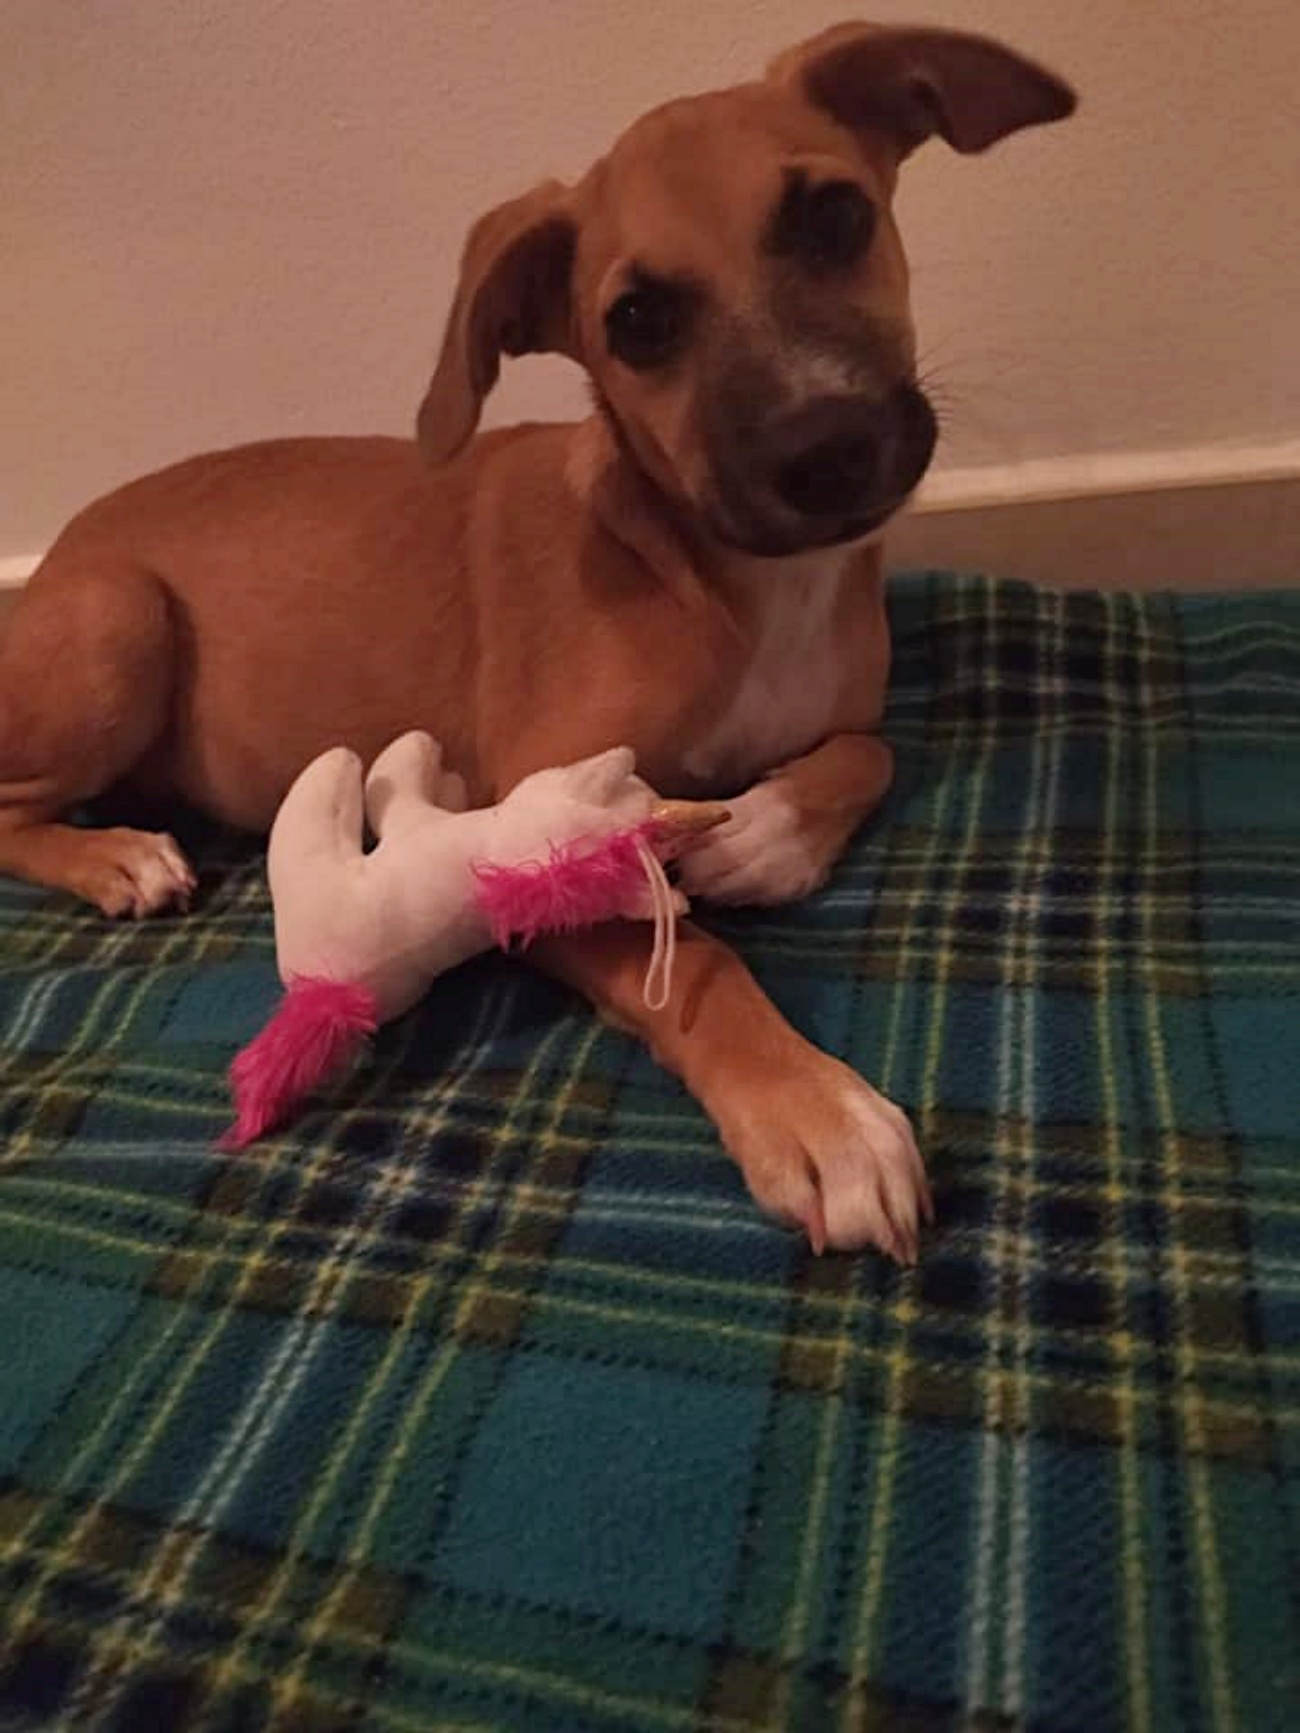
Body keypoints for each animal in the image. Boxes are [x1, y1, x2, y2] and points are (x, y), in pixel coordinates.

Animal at [2, 23, 1081, 1261]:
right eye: (637, 323)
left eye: (835, 216)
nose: (825, 449)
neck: (734, 581)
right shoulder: (529, 815)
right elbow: (694, 964)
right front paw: (821, 1114)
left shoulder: (847, 709)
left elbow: (871, 749)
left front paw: (767, 833)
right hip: (117, 617)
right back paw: (116, 856)